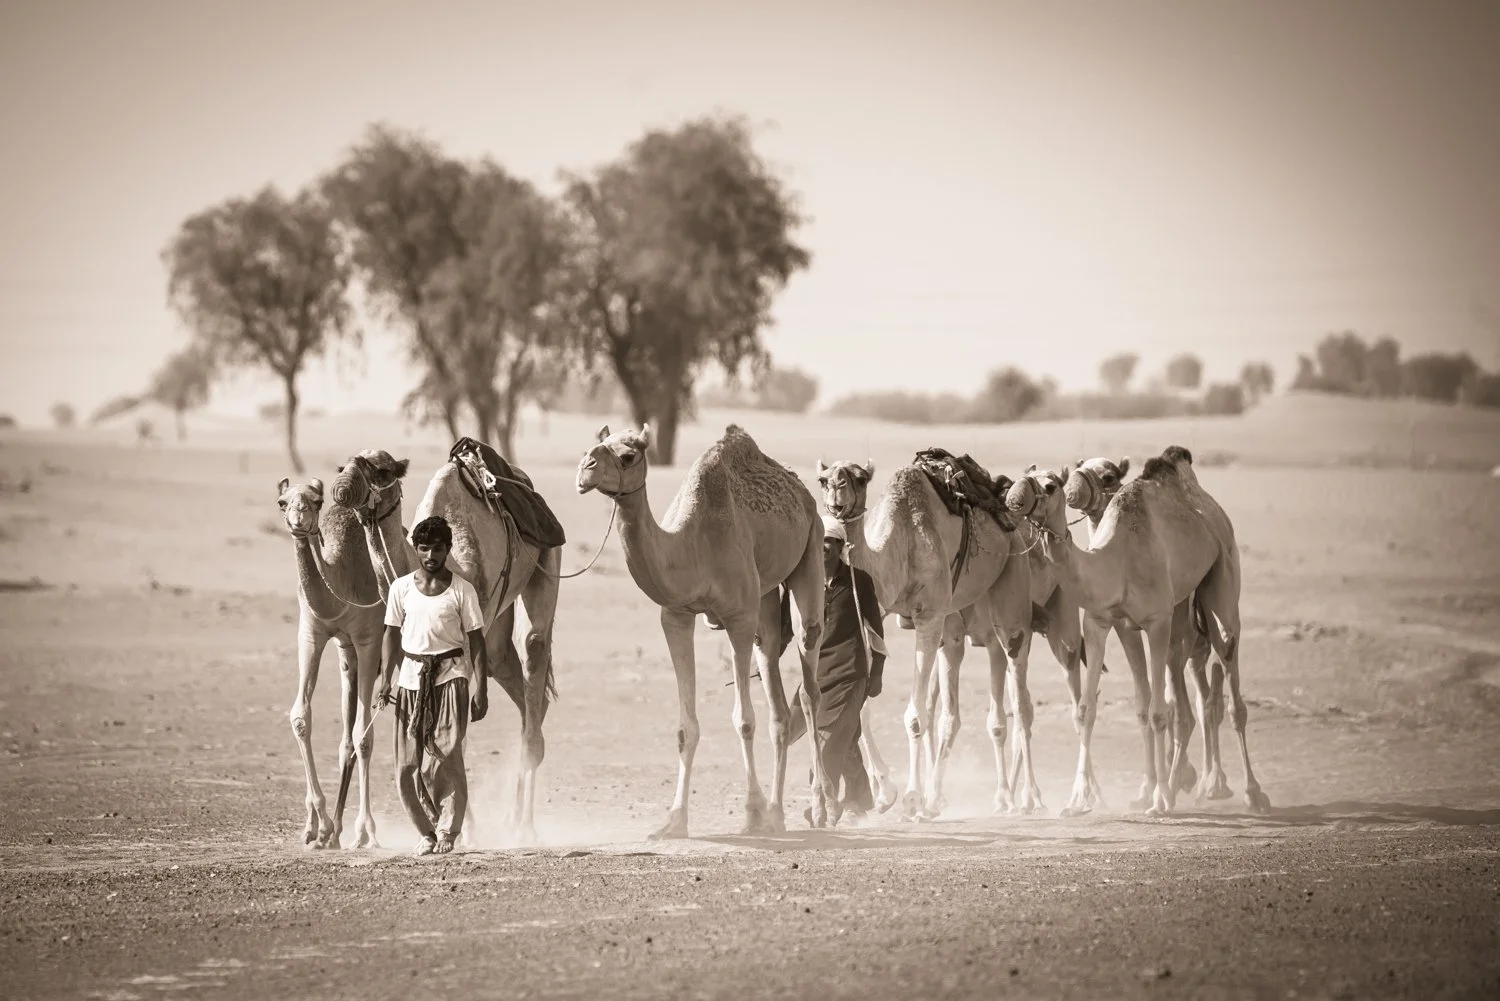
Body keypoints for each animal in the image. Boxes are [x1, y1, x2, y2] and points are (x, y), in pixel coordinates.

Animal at [277, 476, 385, 850]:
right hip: (346, 656)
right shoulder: (312, 633)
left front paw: (365, 831)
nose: (298, 520)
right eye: (282, 501)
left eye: (316, 500)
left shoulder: (369, 638)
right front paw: (316, 826)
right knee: (345, 740)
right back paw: (334, 830)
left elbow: (365, 735)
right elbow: (300, 716)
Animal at [577, 423, 837, 837]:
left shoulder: (737, 617)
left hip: (810, 549)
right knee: (778, 701)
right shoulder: (676, 616)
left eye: (628, 455)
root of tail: (803, 493)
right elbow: (687, 727)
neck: (692, 544)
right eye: (597, 444)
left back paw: (820, 806)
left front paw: (751, 813)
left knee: (810, 685)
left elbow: (744, 720)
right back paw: (777, 813)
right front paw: (673, 821)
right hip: (764, 598)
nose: (585, 469)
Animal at [815, 456, 1034, 819]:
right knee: (954, 702)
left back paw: (1025, 798)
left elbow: (915, 717)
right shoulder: (879, 606)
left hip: (1011, 581)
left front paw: (911, 797)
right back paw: (941, 798)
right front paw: (885, 791)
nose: (836, 496)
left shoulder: (929, 615)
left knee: (1018, 688)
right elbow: (861, 708)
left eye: (859, 478)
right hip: (958, 619)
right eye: (823, 479)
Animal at [1038, 445, 1269, 816]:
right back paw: (1196, 784)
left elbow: (1162, 710)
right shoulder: (1119, 625)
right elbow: (1139, 706)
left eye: (1108, 477)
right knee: (1193, 704)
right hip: (1183, 622)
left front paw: (1161, 795)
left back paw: (1249, 792)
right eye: (1076, 468)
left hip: (1222, 582)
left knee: (1228, 680)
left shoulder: (1157, 621)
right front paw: (1143, 791)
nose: (1073, 487)